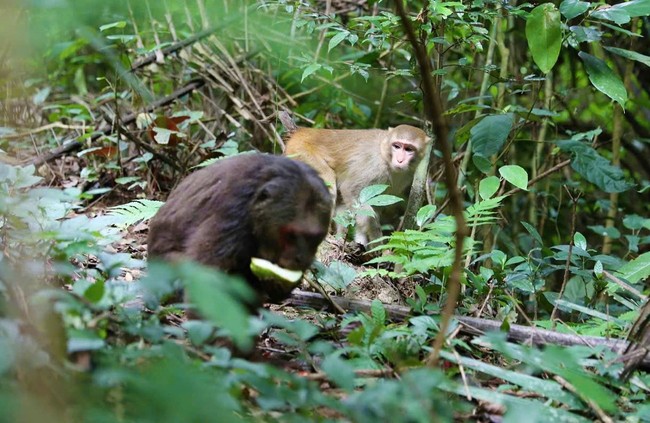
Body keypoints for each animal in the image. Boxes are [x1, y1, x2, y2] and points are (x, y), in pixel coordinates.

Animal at [282, 122, 426, 245]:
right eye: (397, 146)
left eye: (409, 149)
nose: (400, 160)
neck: (385, 153)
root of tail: (301, 131)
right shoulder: (374, 165)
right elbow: (350, 189)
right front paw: (378, 244)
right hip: (301, 153)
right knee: (328, 182)